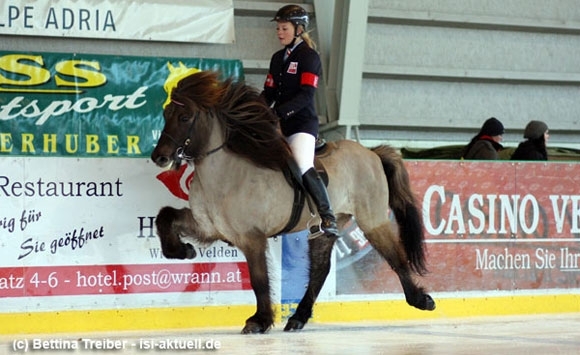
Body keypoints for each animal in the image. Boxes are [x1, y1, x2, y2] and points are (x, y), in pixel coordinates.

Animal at [150, 70, 436, 334]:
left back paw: (422, 300)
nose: (159, 158)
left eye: (185, 117)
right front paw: (182, 250)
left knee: (395, 258)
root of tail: (371, 152)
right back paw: (298, 317)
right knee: (320, 269)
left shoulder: (252, 237)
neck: (226, 174)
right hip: (327, 227)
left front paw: (259, 321)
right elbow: (165, 216)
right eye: (165, 114)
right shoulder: (209, 228)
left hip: (372, 220)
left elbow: (259, 279)